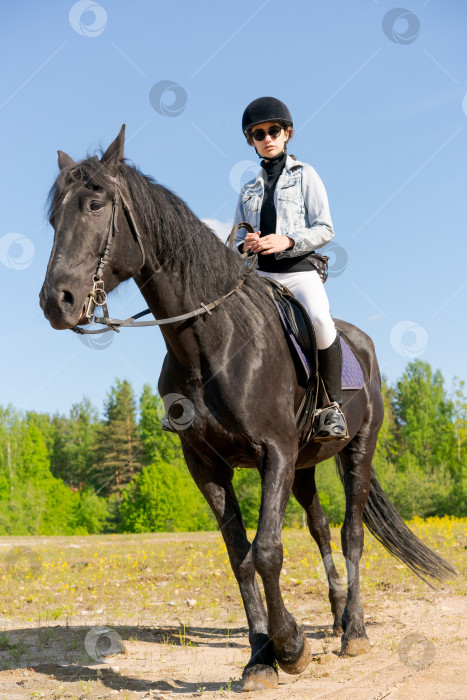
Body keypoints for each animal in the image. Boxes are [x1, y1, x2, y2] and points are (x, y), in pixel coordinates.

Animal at [41, 126, 458, 688]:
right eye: (53, 218)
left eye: (95, 204)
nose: (55, 301)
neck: (211, 343)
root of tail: (361, 342)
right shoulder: (207, 466)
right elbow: (239, 556)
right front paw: (261, 656)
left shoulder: (274, 453)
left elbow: (267, 550)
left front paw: (291, 647)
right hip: (305, 466)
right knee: (320, 527)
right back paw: (334, 615)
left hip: (357, 452)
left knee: (350, 533)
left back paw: (353, 632)